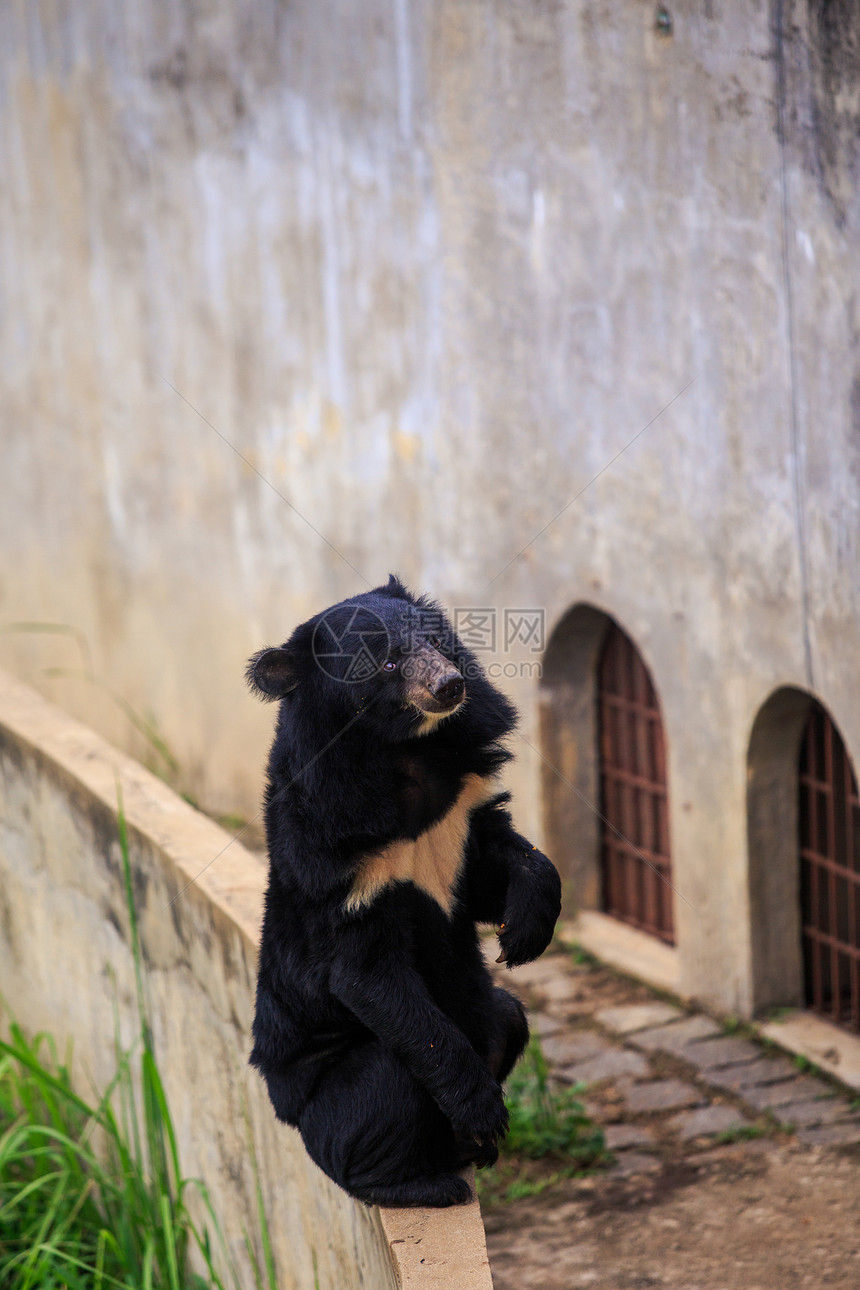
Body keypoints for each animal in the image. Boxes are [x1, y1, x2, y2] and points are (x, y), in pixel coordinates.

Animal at [244, 577, 562, 1207]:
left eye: (438, 642)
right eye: (387, 663)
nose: (450, 685)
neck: (404, 752)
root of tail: (287, 1115)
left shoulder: (461, 805)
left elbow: (496, 868)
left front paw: (523, 933)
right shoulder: (345, 864)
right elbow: (370, 978)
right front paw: (485, 1111)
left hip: (494, 1015)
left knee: (509, 1015)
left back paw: (467, 1152)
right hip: (336, 1104)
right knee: (384, 1088)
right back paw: (429, 1181)